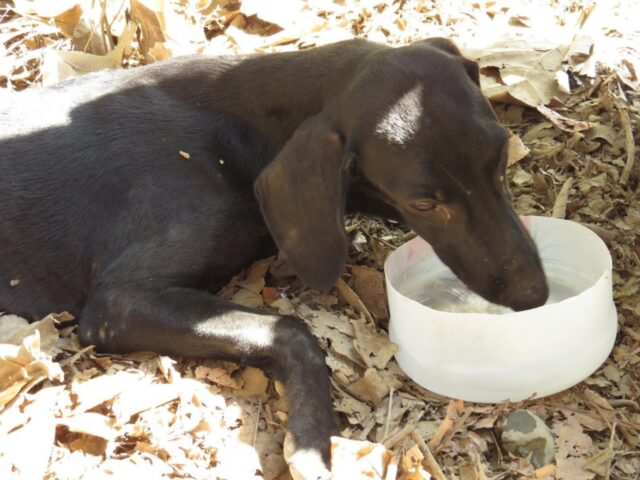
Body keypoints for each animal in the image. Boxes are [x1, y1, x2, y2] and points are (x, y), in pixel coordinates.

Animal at [1, 39, 552, 478]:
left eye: (501, 158)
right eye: (423, 204)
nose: (535, 294)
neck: (237, 131)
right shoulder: (116, 304)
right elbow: (291, 330)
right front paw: (311, 440)